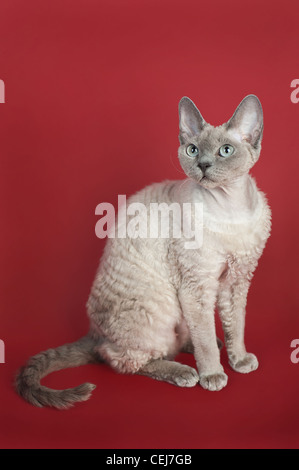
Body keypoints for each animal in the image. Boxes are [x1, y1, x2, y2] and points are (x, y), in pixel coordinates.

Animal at [15, 94, 272, 408]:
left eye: (225, 151)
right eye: (193, 150)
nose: (203, 165)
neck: (232, 210)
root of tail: (93, 334)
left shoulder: (237, 281)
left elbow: (236, 325)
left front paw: (239, 360)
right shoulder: (197, 286)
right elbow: (206, 341)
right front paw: (213, 374)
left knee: (184, 337)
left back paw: (197, 346)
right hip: (159, 310)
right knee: (124, 360)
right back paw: (186, 372)